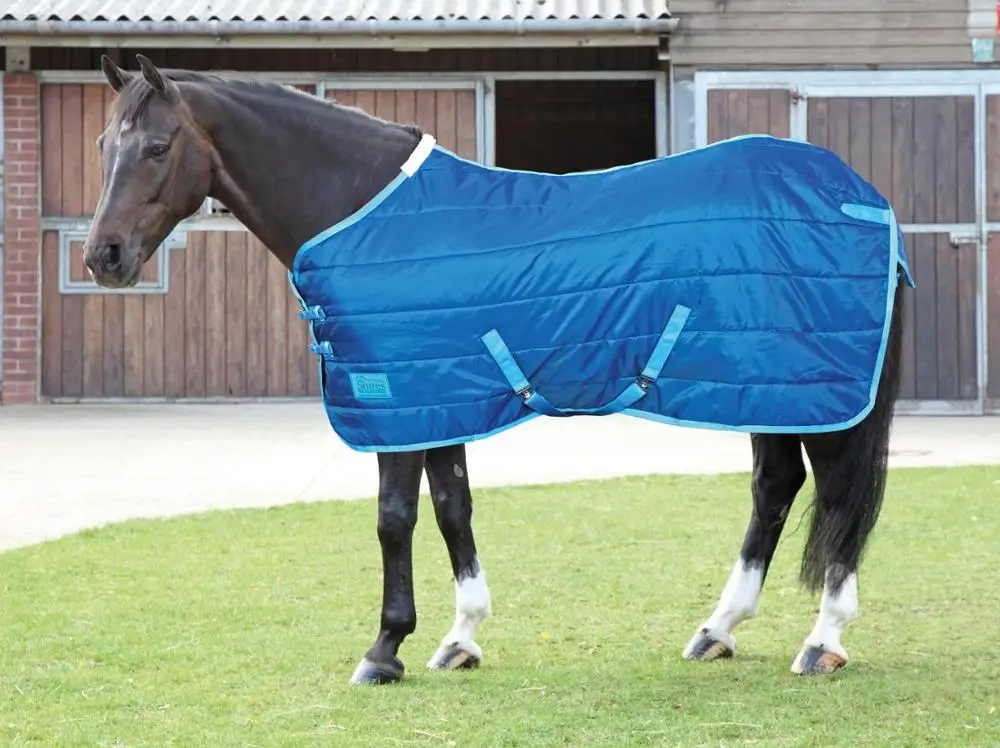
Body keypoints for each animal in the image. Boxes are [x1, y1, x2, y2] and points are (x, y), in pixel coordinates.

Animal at [83, 54, 908, 685]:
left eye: (157, 146)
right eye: (101, 145)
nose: (103, 257)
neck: (366, 212)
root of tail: (861, 196)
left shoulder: (399, 397)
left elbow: (394, 517)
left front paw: (384, 649)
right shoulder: (441, 396)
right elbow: (454, 509)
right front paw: (460, 638)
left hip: (814, 390)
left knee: (835, 495)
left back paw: (823, 640)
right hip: (767, 385)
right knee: (776, 488)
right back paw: (719, 628)